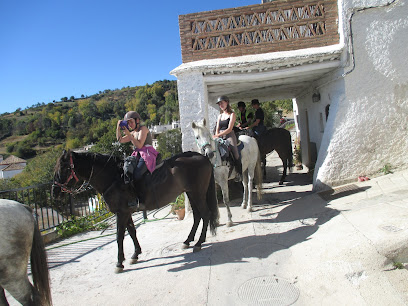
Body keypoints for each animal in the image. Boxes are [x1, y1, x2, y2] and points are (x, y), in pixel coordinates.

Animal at [54, 151, 220, 272]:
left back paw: (198, 242)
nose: (55, 192)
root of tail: (202, 156)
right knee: (198, 216)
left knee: (205, 214)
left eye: (64, 168)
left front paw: (119, 263)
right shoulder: (126, 212)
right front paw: (135, 254)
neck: (113, 178)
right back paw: (188, 241)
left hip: (197, 193)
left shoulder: (121, 213)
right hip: (191, 193)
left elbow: (119, 236)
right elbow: (132, 231)